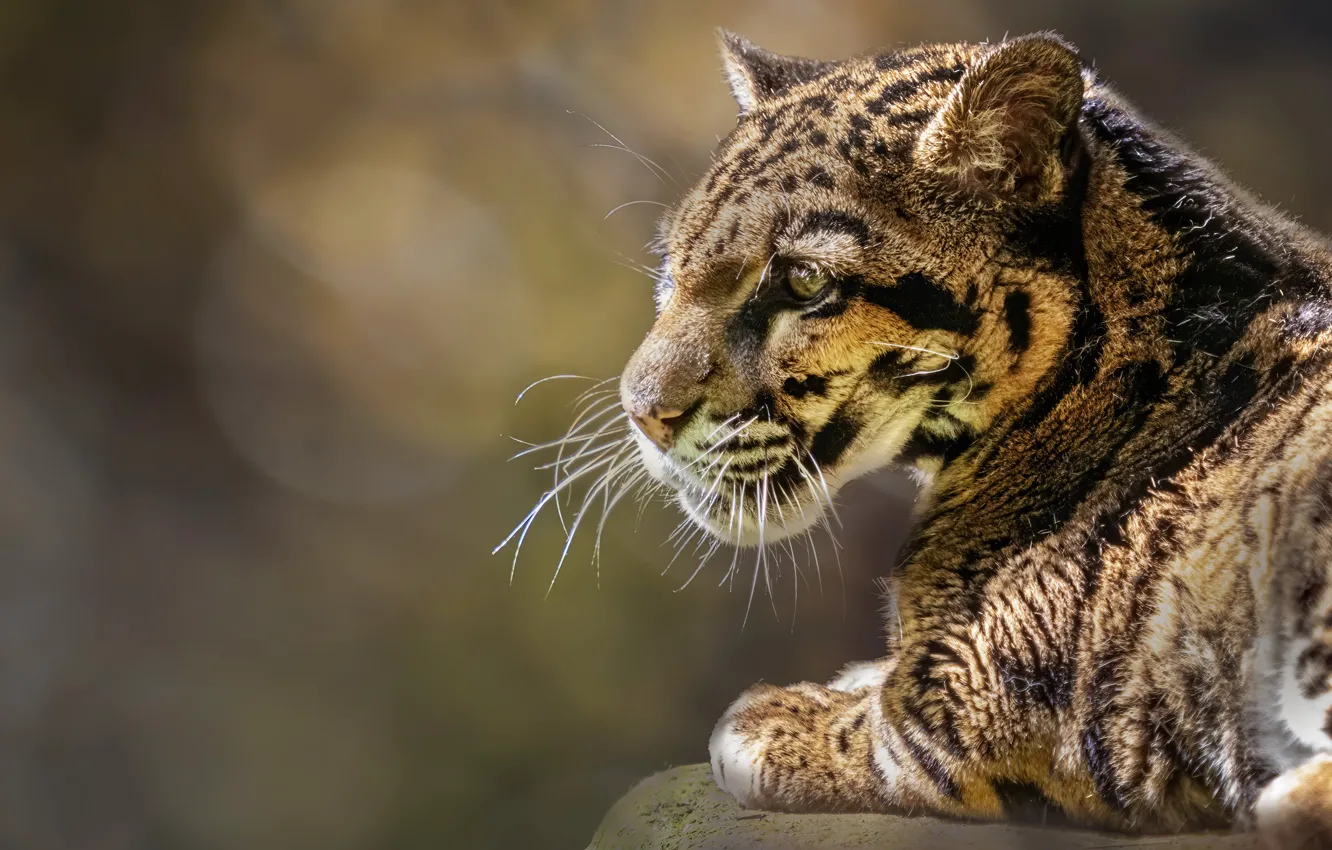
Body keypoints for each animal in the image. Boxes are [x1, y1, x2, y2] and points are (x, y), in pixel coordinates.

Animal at [595, 30, 1332, 846]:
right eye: (673, 266)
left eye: (803, 281)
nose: (641, 411)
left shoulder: (985, 694)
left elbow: (883, 726)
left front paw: (773, 718)